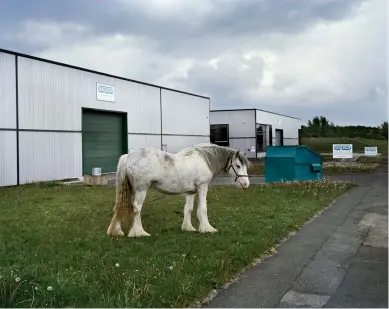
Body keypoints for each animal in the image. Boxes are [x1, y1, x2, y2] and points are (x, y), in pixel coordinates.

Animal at [106, 143, 252, 237]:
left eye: (245, 166)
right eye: (238, 165)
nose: (246, 184)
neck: (205, 160)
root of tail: (128, 156)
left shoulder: (190, 191)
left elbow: (188, 209)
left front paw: (188, 228)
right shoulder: (202, 187)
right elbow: (203, 209)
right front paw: (207, 229)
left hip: (130, 191)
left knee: (120, 207)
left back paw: (116, 231)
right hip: (141, 190)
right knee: (136, 209)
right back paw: (139, 233)